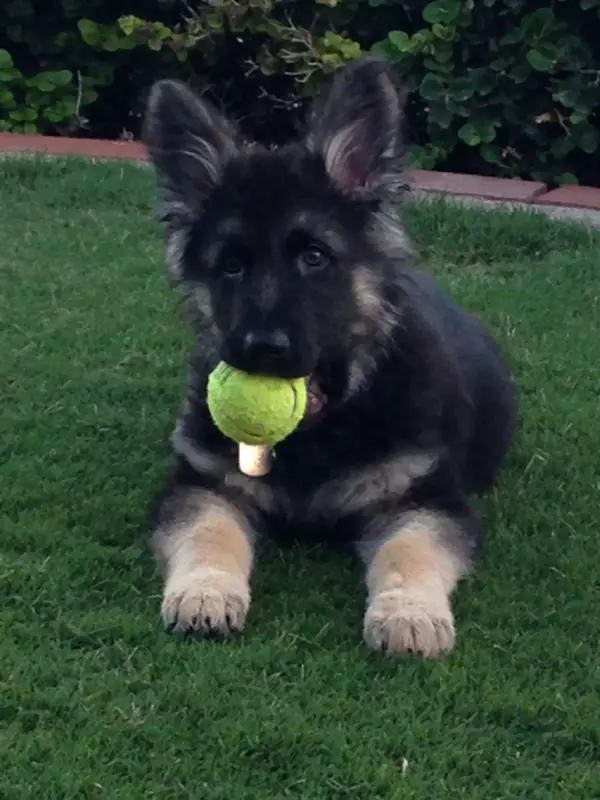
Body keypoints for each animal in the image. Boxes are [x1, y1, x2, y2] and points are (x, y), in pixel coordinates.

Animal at [142, 54, 516, 656]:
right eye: (231, 266)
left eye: (314, 257)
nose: (262, 350)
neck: (319, 431)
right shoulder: (203, 486)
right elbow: (209, 533)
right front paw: (205, 592)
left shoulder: (426, 501)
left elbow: (409, 550)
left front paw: (408, 614)